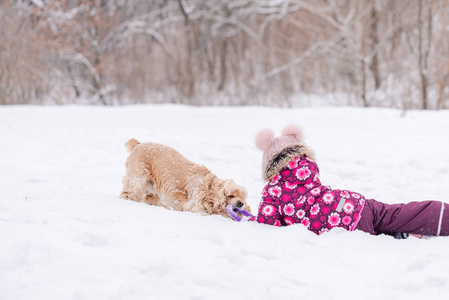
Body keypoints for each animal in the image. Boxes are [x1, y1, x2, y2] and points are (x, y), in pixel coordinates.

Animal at [121, 138, 250, 218]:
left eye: (242, 198)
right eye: (231, 195)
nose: (241, 203)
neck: (209, 188)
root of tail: (138, 145)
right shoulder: (193, 205)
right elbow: (204, 213)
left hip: (152, 186)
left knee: (150, 198)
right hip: (139, 179)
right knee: (128, 193)